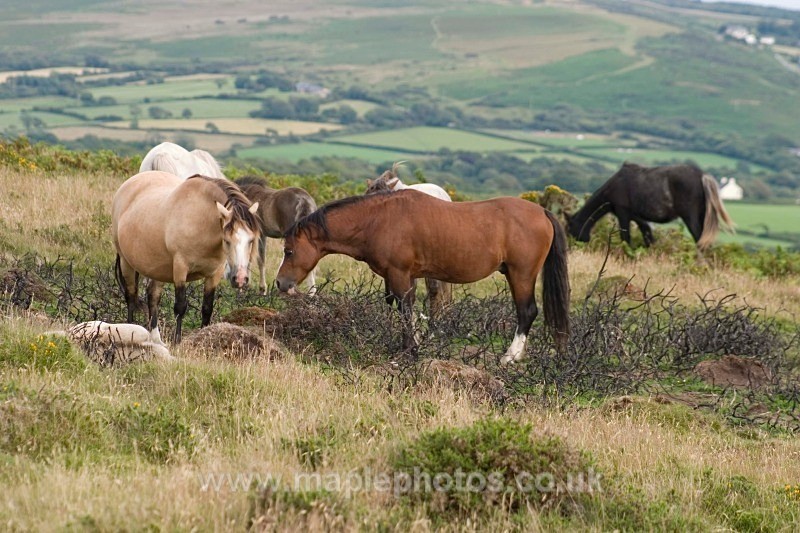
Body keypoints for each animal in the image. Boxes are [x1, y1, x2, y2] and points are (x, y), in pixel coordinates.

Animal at [112, 171, 260, 344]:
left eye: (251, 240)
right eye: (227, 240)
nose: (241, 279)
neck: (201, 220)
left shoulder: (214, 274)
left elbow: (207, 308)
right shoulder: (180, 268)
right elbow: (180, 307)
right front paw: (177, 341)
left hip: (158, 269)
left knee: (152, 296)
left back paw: (156, 339)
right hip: (126, 262)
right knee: (130, 296)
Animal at [275, 190, 570, 364]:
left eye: (289, 251)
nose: (280, 283)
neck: (378, 220)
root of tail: (542, 212)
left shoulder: (399, 273)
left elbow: (405, 310)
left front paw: (408, 351)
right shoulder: (405, 277)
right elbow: (407, 308)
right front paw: (415, 343)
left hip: (521, 275)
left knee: (527, 312)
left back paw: (511, 357)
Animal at [566, 163, 734, 250]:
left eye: (570, 229)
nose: (571, 247)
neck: (614, 186)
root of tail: (702, 176)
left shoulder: (623, 213)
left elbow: (625, 238)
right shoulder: (637, 217)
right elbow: (647, 235)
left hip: (690, 217)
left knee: (699, 240)